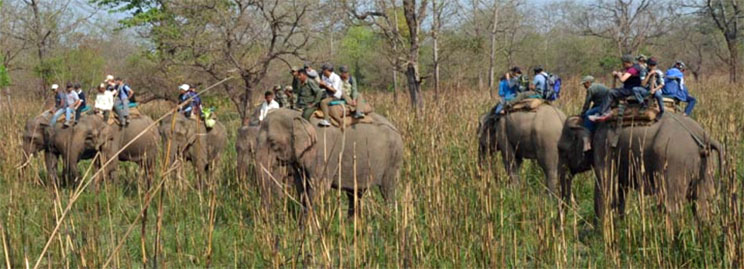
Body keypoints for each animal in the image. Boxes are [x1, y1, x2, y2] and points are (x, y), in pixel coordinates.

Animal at [254, 107, 402, 216]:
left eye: (273, 143)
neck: (297, 115)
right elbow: (301, 187)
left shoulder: (322, 153)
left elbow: (318, 188)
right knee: (354, 194)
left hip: (393, 159)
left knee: (387, 189)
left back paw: (390, 219)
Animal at [560, 112, 724, 221]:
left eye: (562, 149)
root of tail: (701, 135)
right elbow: (619, 190)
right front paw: (620, 226)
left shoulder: (604, 147)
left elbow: (605, 187)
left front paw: (601, 236)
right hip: (707, 165)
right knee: (702, 206)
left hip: (674, 163)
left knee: (671, 206)